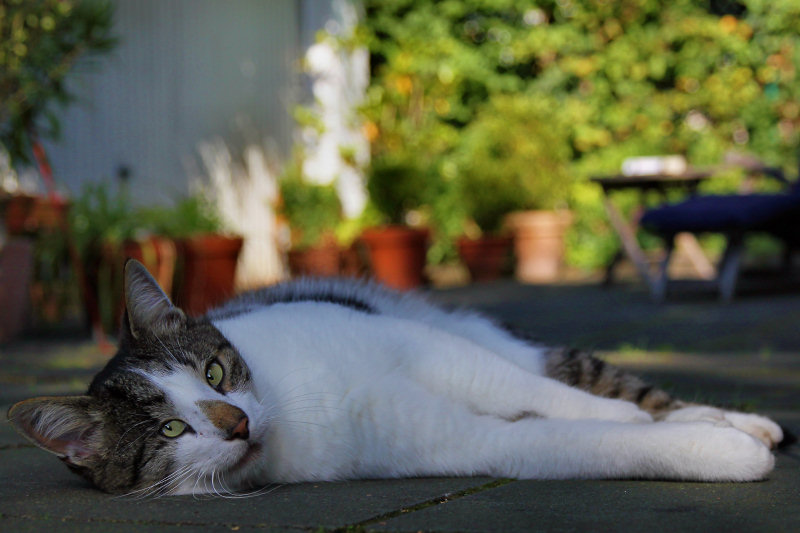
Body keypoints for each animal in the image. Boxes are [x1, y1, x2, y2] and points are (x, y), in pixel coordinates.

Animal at [6, 258, 780, 494]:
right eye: (170, 428)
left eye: (217, 372)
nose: (239, 421)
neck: (298, 403)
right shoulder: (467, 442)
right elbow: (563, 437)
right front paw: (725, 455)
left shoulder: (428, 349)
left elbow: (566, 402)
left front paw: (704, 428)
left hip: (480, 339)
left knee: (590, 379)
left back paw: (743, 417)